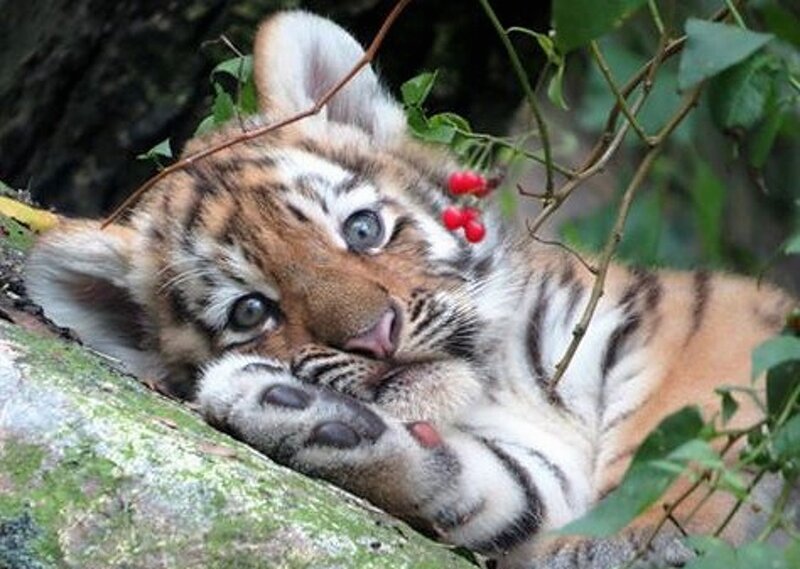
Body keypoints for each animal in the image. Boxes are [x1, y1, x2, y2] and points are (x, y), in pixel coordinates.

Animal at [24, 10, 796, 569]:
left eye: (362, 229)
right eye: (251, 310)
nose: (376, 335)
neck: (496, 386)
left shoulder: (708, 330)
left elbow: (681, 442)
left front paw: (641, 540)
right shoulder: (529, 470)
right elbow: (478, 483)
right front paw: (287, 407)